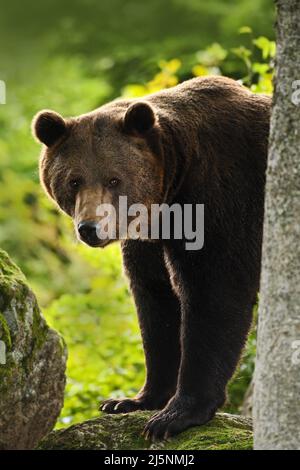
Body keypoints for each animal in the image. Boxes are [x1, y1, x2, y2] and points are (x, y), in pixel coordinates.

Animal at [31, 76, 270, 440]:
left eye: (114, 179)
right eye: (73, 181)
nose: (91, 228)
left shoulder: (223, 201)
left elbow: (214, 294)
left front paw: (175, 415)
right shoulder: (149, 239)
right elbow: (156, 301)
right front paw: (130, 400)